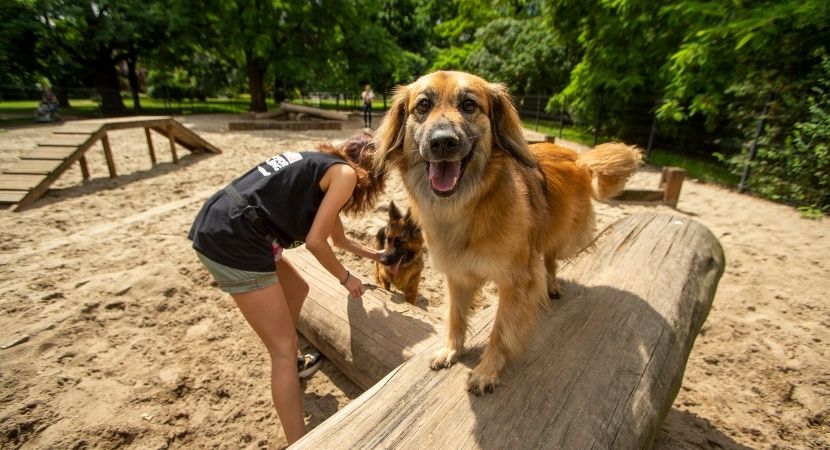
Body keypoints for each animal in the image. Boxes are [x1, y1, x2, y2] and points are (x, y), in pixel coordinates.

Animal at [374, 70, 648, 394]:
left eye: (469, 105)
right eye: (423, 106)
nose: (443, 142)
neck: (468, 207)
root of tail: (576, 156)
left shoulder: (517, 280)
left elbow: (502, 331)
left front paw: (487, 372)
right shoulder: (458, 274)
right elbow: (455, 317)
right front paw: (451, 350)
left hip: (561, 232)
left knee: (550, 258)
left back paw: (551, 285)